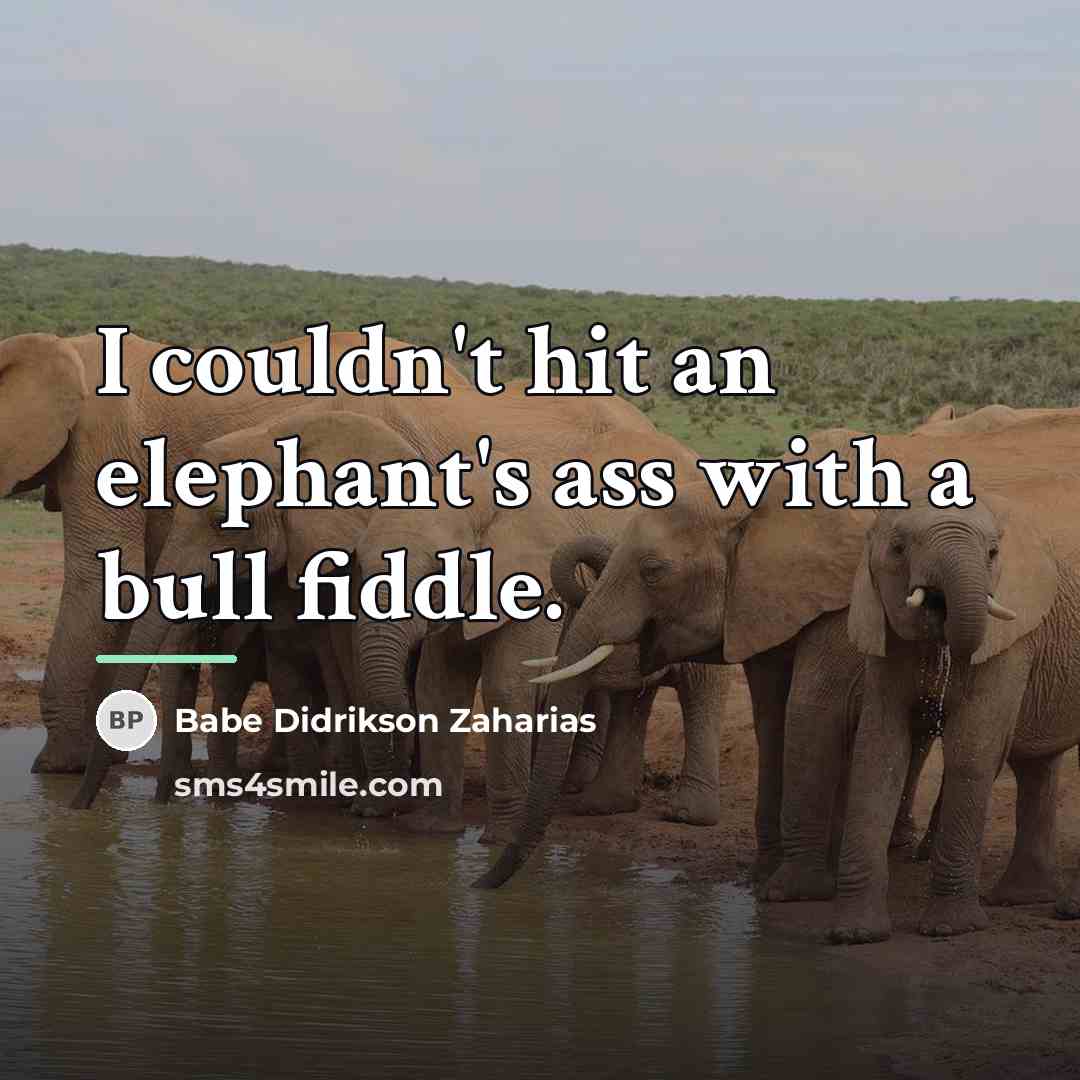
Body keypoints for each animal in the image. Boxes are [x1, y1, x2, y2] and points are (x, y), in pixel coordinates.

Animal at [831, 481, 1080, 943]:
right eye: (897, 548)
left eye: (993, 553)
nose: (939, 609)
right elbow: (881, 750)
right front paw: (854, 934)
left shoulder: (1011, 638)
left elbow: (973, 749)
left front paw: (949, 929)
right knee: (1036, 764)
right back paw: (1021, 899)